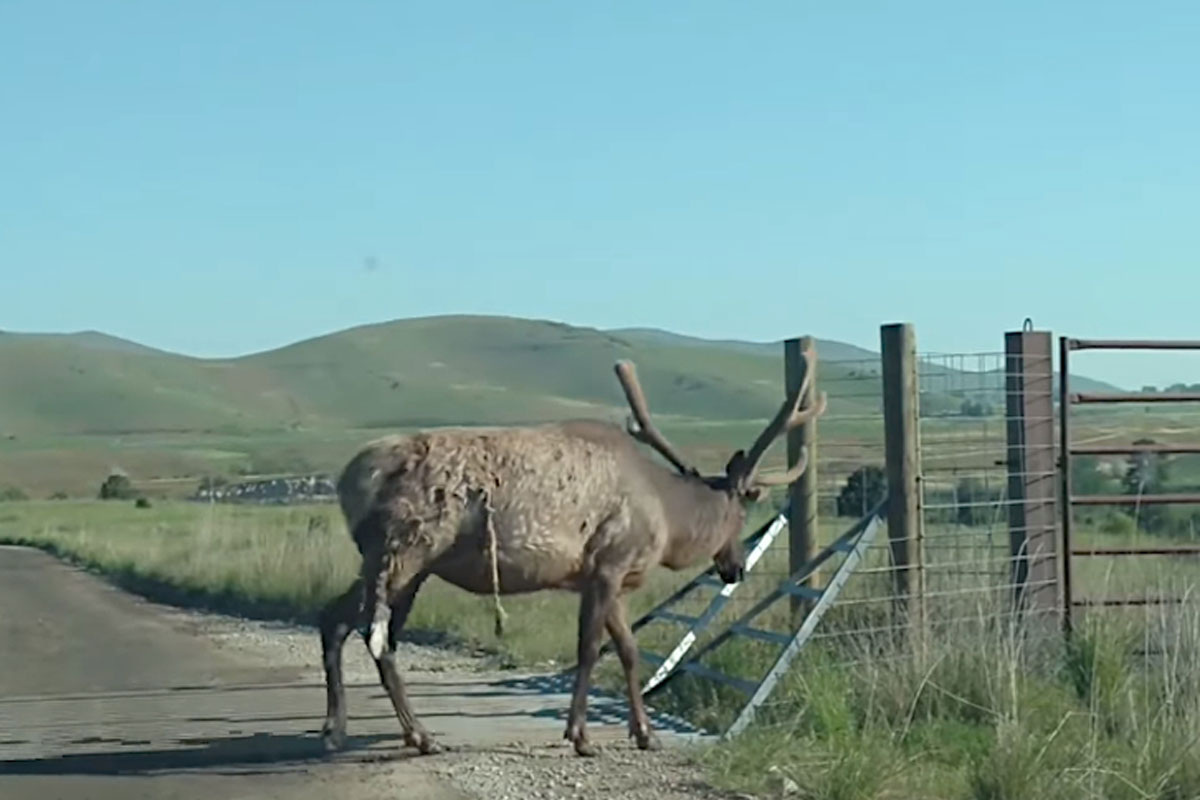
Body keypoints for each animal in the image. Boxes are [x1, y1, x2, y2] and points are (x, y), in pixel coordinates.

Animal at [319, 347, 825, 758]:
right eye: (738, 516)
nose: (736, 568)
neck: (666, 516)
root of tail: (347, 480)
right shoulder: (607, 564)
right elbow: (588, 649)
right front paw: (580, 736)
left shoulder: (607, 579)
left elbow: (629, 651)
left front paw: (644, 733)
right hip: (408, 554)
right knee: (377, 636)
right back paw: (419, 736)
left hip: (387, 560)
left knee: (334, 618)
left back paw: (335, 729)